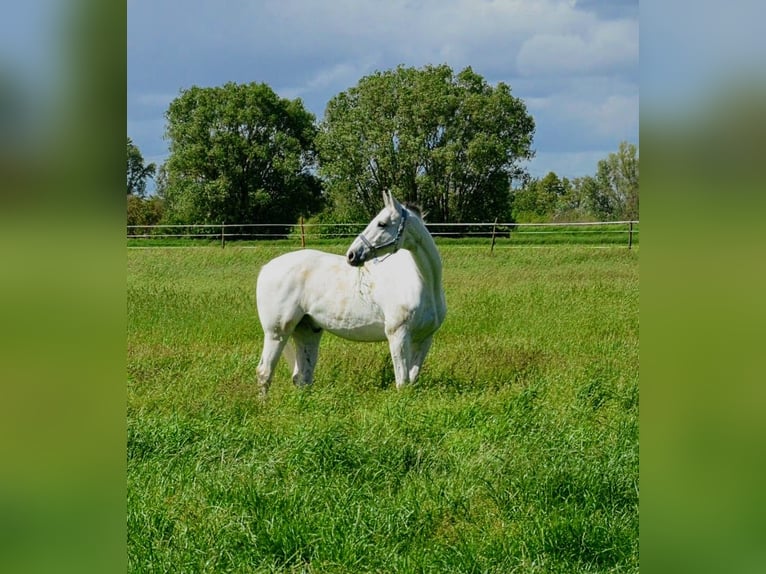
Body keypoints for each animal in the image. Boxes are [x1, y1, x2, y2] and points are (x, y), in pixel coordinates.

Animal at [255, 191, 448, 398]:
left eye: (382, 223)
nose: (352, 255)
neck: (421, 281)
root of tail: (266, 268)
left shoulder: (424, 339)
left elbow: (412, 379)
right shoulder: (398, 336)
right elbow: (402, 382)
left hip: (306, 331)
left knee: (302, 377)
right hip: (277, 332)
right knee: (265, 372)